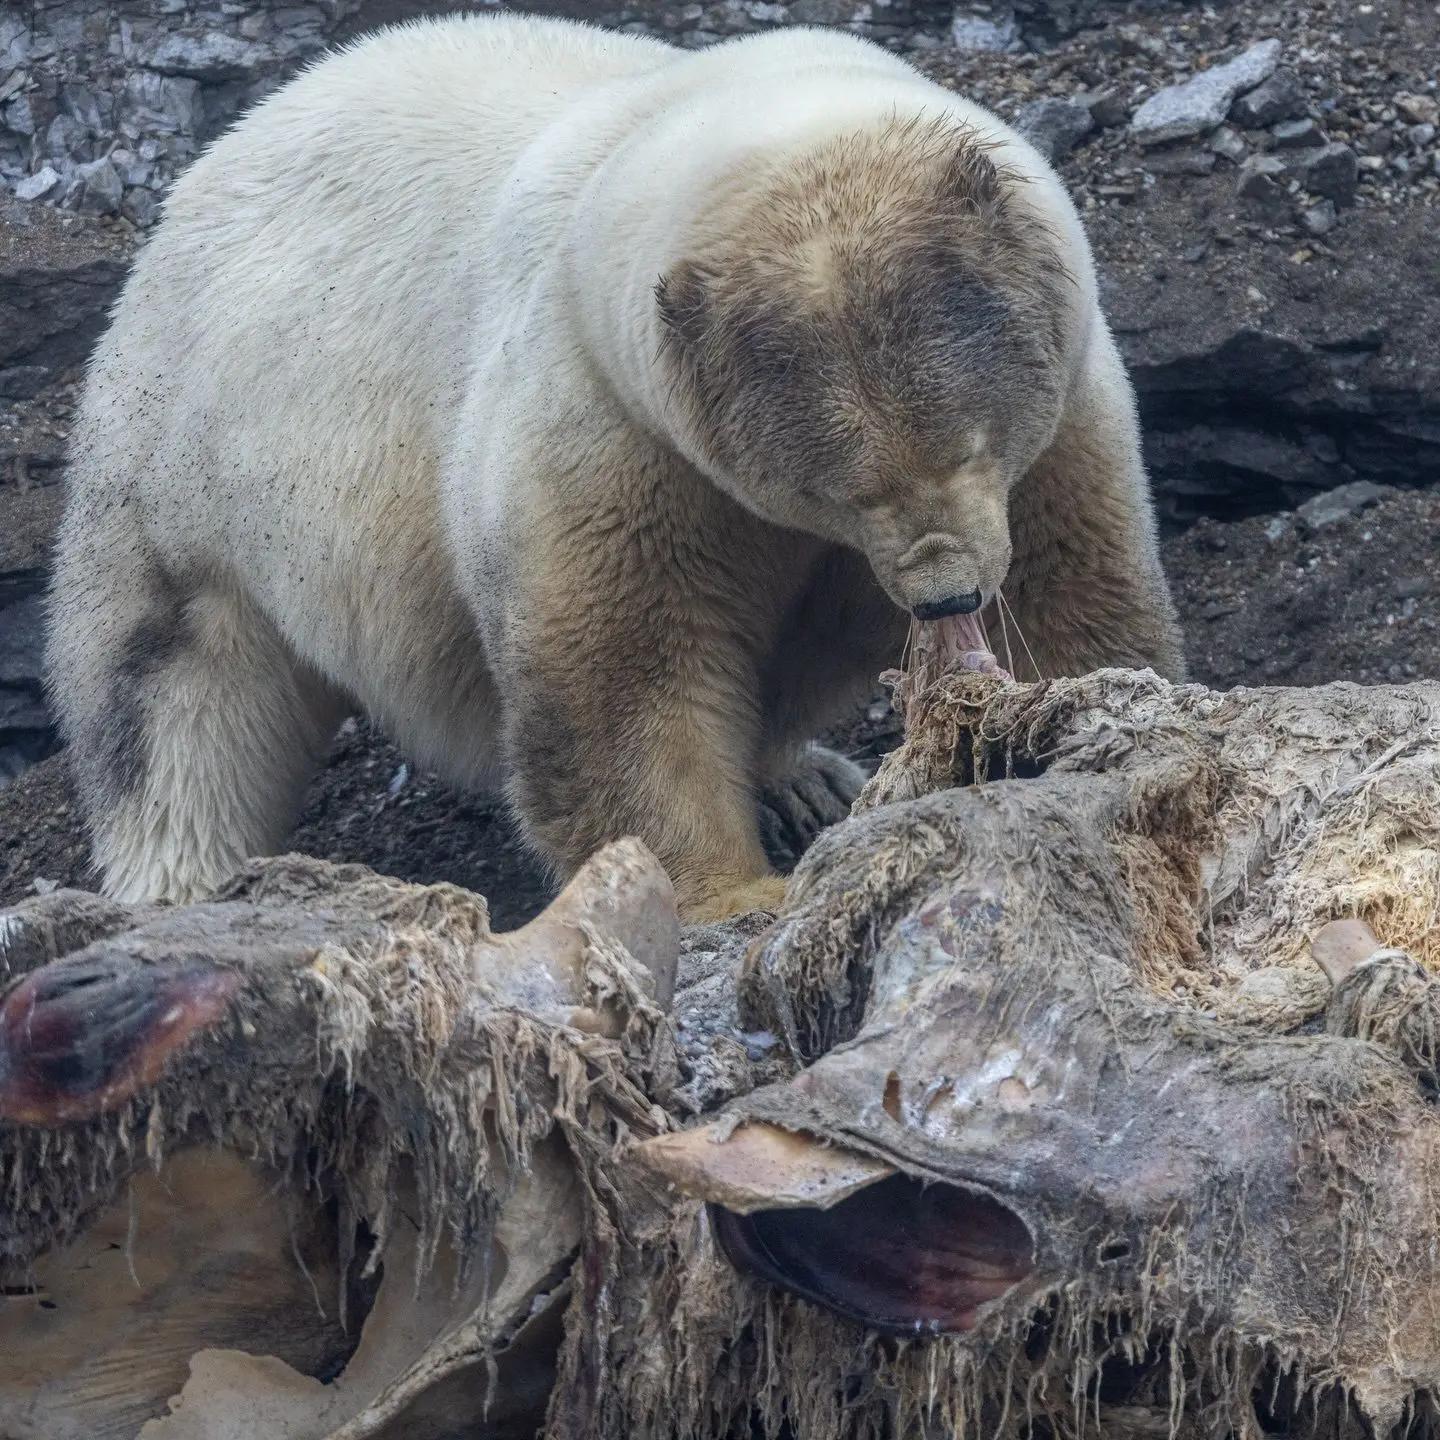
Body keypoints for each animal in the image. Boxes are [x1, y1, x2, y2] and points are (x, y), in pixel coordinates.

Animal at [45, 13, 1184, 923]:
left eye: (973, 443)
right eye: (846, 490)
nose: (949, 594)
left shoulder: (1068, 408)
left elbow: (1074, 597)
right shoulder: (607, 429)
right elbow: (627, 674)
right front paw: (731, 892)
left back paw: (802, 777)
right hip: (184, 462)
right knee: (172, 694)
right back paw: (184, 884)